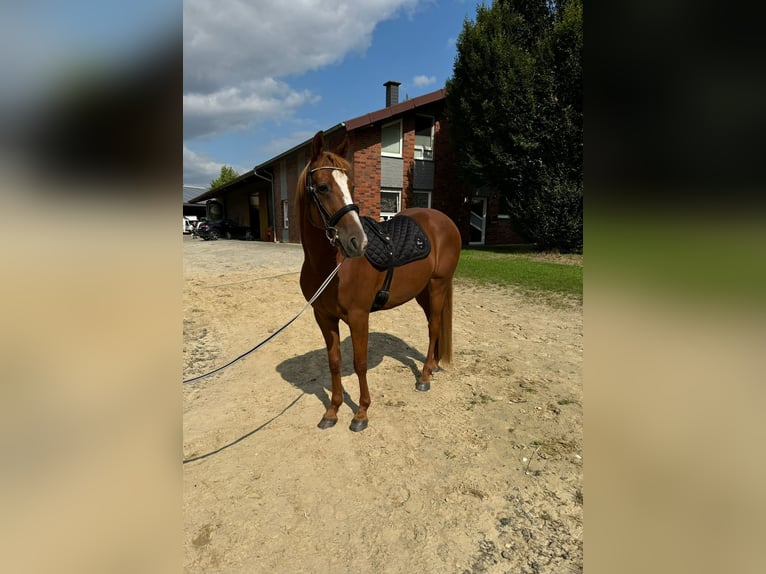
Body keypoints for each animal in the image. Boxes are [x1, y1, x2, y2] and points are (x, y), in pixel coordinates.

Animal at [296, 132, 460, 432]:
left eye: (350, 185)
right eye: (323, 187)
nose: (357, 242)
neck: (331, 266)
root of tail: (444, 221)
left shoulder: (359, 316)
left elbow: (359, 362)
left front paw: (361, 413)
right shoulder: (323, 317)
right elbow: (334, 362)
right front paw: (332, 411)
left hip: (438, 285)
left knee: (433, 327)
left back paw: (424, 377)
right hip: (422, 291)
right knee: (433, 325)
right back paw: (432, 366)